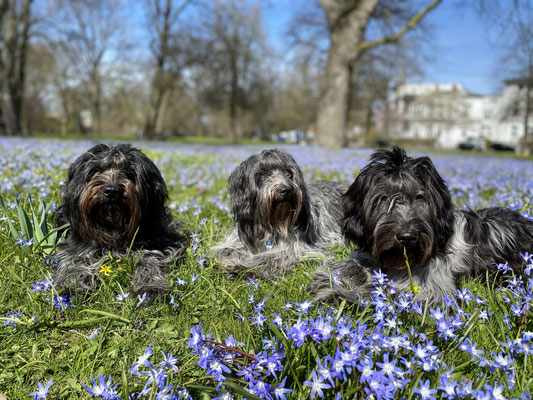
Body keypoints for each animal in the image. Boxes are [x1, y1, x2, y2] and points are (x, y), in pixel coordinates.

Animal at [54, 143, 187, 294]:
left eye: (129, 173)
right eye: (96, 170)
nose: (112, 191)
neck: (112, 227)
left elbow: (150, 259)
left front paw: (151, 286)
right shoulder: (76, 247)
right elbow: (74, 263)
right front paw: (70, 287)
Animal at [212, 149, 350, 278]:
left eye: (288, 173)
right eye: (262, 174)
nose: (285, 190)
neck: (270, 222)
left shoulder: (293, 250)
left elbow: (267, 258)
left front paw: (241, 267)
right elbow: (222, 251)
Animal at [310, 147, 532, 304]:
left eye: (420, 198)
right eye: (383, 198)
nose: (407, 237)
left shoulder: (429, 289)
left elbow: (381, 292)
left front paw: (337, 295)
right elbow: (348, 265)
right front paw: (327, 278)